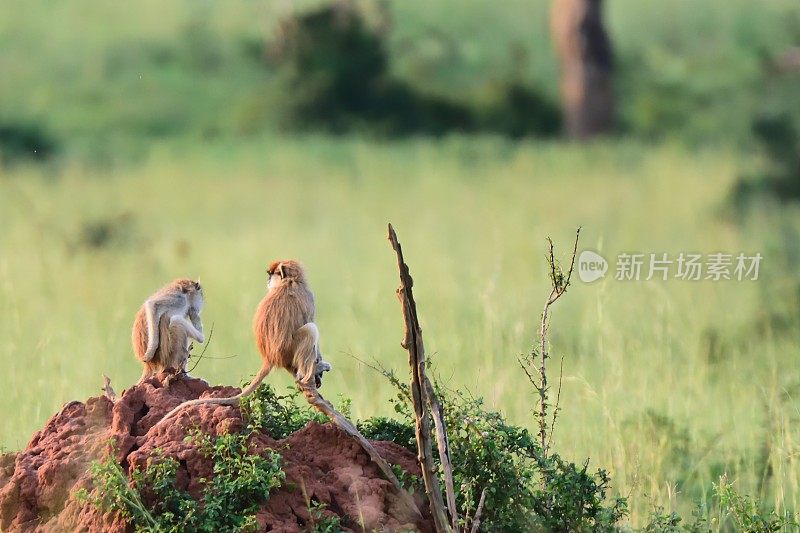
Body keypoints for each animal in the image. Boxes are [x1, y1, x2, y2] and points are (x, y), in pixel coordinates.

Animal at [155, 258, 330, 424]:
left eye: (270, 274)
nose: (268, 281)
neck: (290, 281)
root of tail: (269, 357)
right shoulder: (309, 297)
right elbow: (309, 321)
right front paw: (319, 363)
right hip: (288, 349)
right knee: (311, 329)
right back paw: (305, 374)